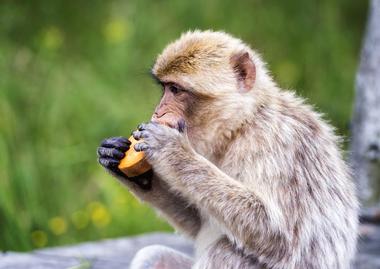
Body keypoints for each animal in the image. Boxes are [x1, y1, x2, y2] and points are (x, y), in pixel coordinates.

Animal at [96, 30, 358, 266]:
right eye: (165, 88)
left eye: (176, 90)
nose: (158, 113)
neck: (241, 126)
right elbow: (196, 221)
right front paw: (125, 165)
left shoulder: (277, 144)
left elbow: (279, 237)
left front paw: (174, 152)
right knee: (151, 254)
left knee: (225, 252)